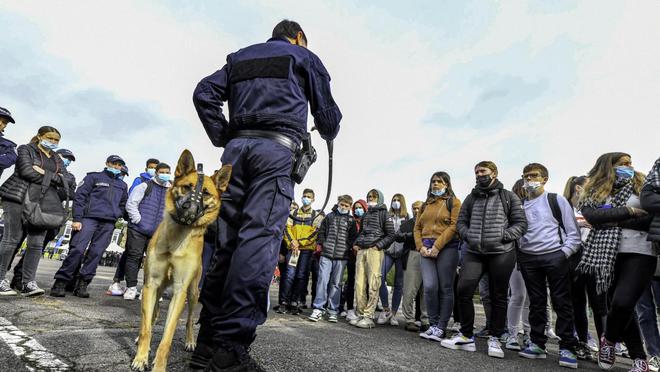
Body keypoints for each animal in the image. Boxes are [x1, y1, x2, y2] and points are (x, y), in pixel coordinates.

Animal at [131, 150, 232, 372]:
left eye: (205, 193)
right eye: (187, 187)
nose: (189, 208)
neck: (176, 239)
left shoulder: (180, 291)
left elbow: (167, 338)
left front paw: (159, 366)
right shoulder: (151, 285)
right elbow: (146, 328)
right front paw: (141, 357)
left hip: (193, 294)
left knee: (189, 320)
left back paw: (190, 341)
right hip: (156, 289)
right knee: (152, 316)